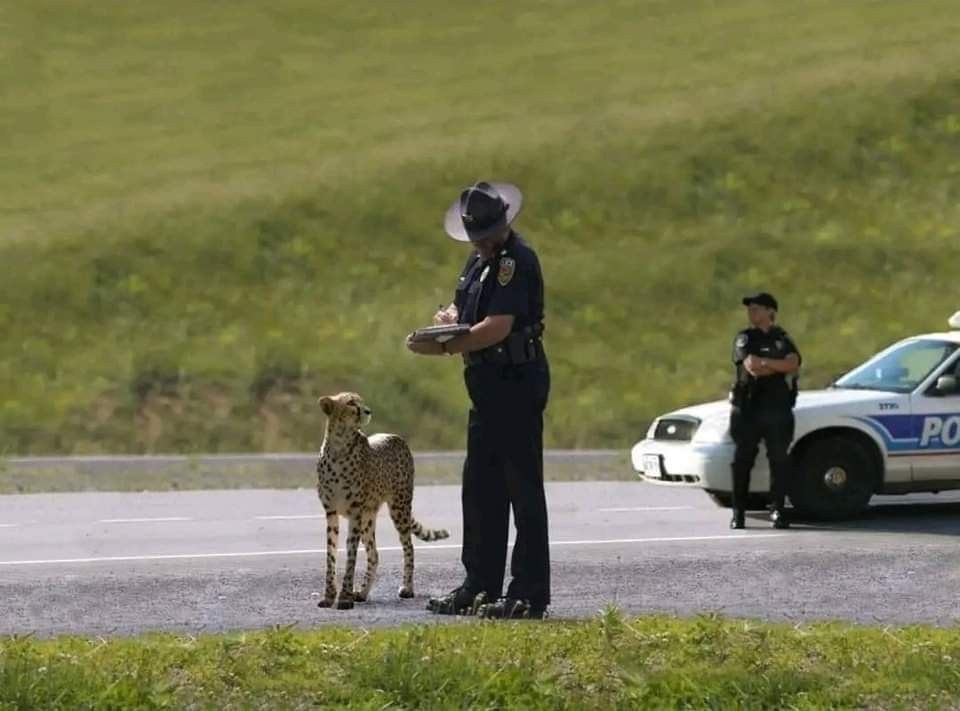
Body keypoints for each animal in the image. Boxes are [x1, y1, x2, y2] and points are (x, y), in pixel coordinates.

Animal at [315, 392, 449, 610]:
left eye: (361, 401)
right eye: (351, 403)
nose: (368, 411)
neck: (339, 445)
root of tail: (395, 436)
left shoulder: (355, 512)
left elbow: (351, 556)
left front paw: (344, 597)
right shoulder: (331, 511)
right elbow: (331, 555)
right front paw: (329, 596)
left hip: (399, 507)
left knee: (408, 547)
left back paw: (407, 588)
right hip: (368, 517)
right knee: (374, 554)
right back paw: (362, 593)